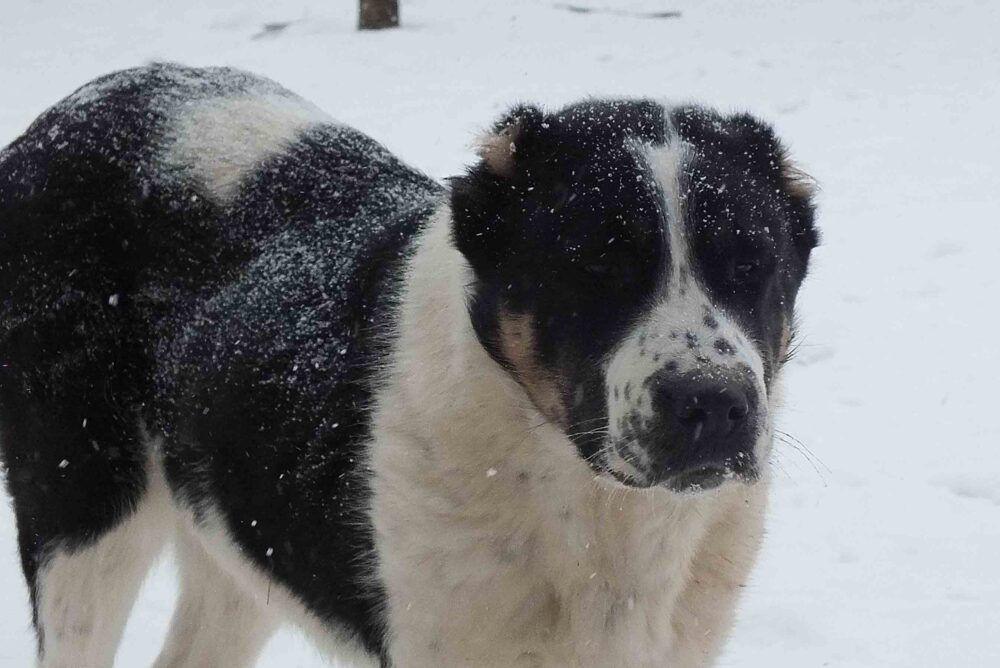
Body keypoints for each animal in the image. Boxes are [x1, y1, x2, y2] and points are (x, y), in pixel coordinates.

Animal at [0, 64, 812, 668]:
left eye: (752, 264)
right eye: (595, 268)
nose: (713, 404)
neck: (596, 510)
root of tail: (52, 126)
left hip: (240, 528)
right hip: (84, 514)